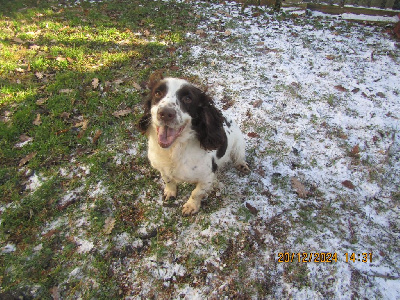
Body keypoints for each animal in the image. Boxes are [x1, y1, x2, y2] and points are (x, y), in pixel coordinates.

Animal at [139, 76, 248, 214]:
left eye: (188, 98)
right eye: (158, 93)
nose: (165, 113)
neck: (174, 150)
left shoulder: (206, 177)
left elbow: (196, 193)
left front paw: (191, 206)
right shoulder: (162, 168)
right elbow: (168, 180)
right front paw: (170, 191)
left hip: (239, 145)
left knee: (239, 157)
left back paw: (242, 165)